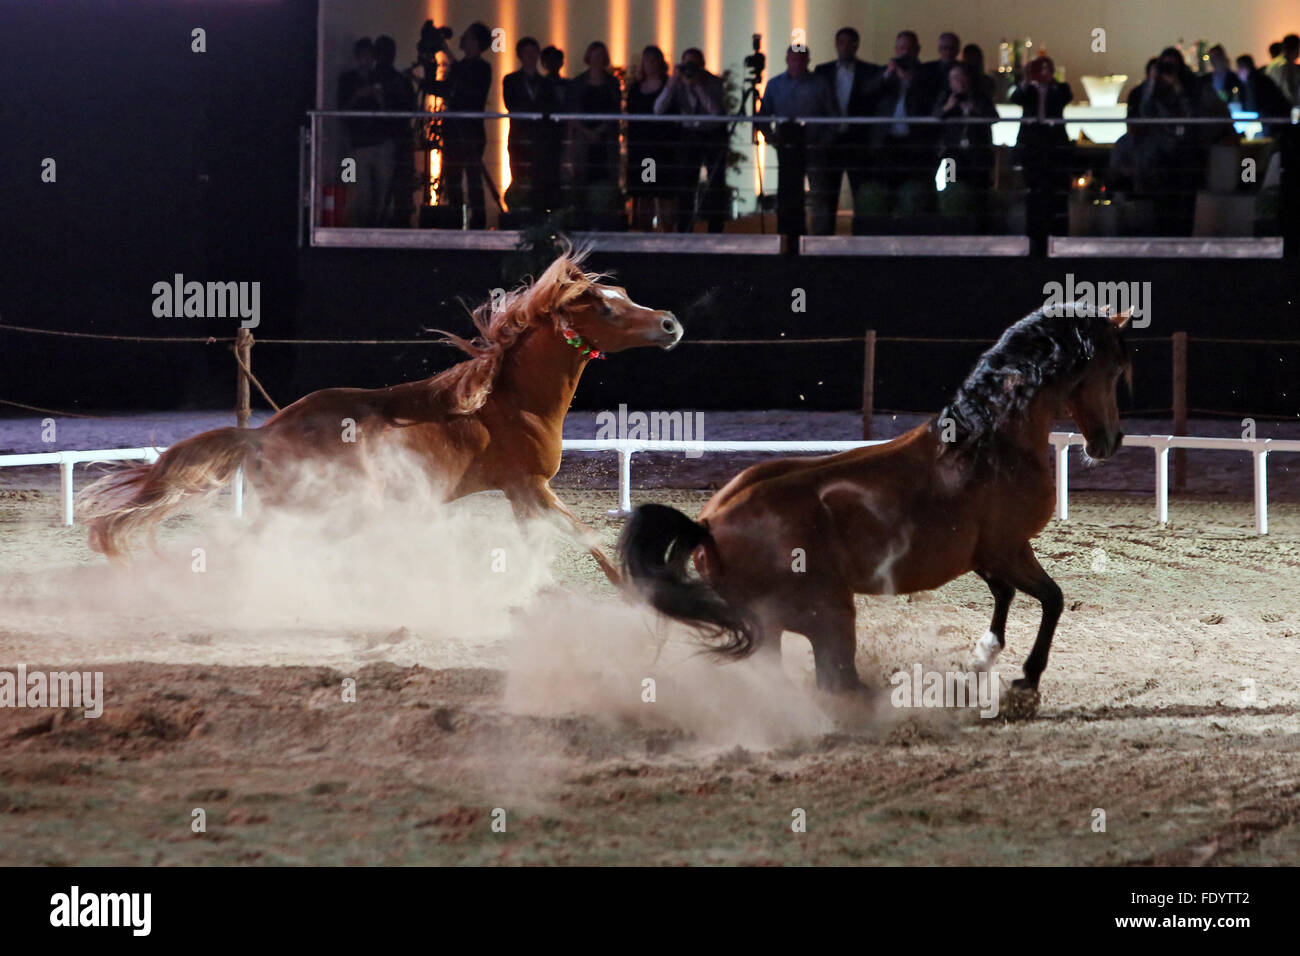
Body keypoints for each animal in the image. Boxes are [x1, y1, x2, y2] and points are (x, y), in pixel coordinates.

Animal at [79, 249, 683, 584]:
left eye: (623, 292)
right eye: (604, 307)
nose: (670, 324)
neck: (509, 400)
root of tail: (262, 435)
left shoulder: (521, 492)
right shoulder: (530, 484)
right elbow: (585, 536)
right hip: (339, 507)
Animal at [619, 305, 1131, 705]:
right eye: (1111, 371)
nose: (1110, 441)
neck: (986, 443)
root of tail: (707, 524)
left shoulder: (985, 554)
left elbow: (1005, 594)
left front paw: (984, 655)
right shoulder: (1009, 548)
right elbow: (1052, 599)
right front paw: (1026, 678)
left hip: (776, 628)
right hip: (826, 615)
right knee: (836, 682)